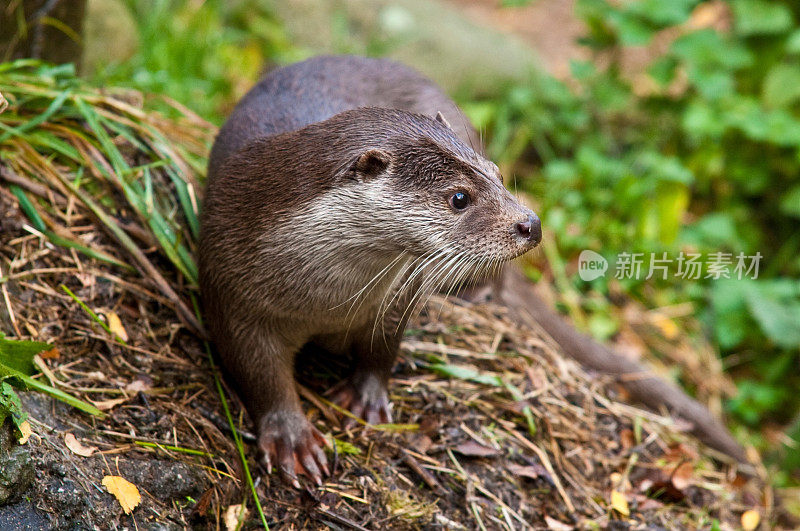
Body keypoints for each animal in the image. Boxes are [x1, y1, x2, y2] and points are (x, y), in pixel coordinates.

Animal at [198, 56, 544, 488]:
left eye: (497, 173)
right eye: (459, 197)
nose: (531, 224)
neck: (322, 301)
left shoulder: (398, 294)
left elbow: (384, 346)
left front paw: (365, 397)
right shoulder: (231, 295)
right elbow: (259, 373)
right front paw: (292, 437)